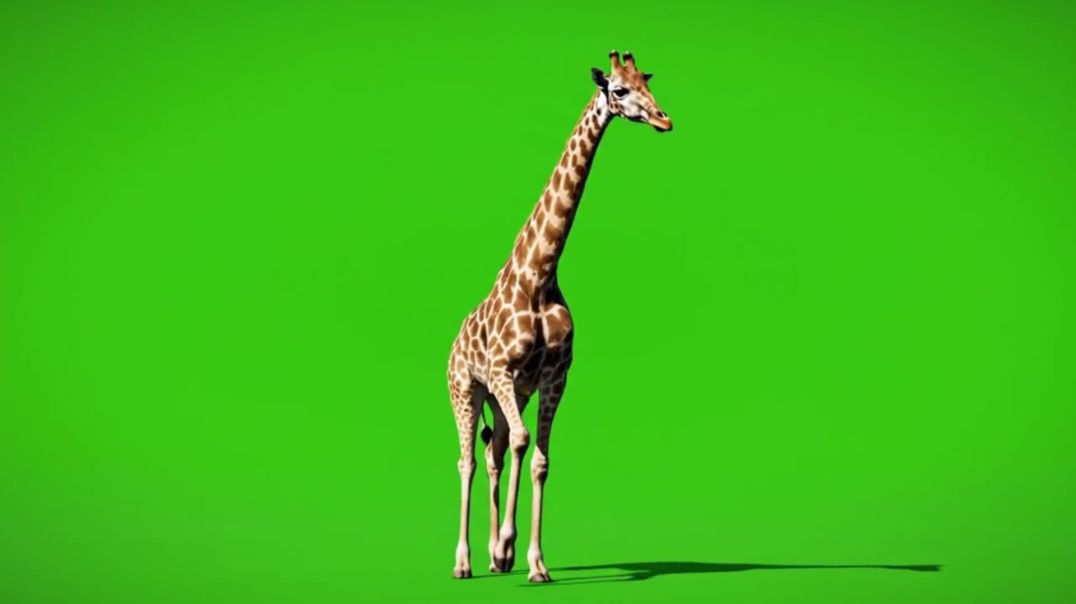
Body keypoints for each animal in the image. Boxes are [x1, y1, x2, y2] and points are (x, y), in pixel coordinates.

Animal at [447, 50, 672, 583]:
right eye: (618, 90)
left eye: (646, 82)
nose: (663, 119)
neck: (541, 274)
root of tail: (454, 340)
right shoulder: (503, 370)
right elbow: (524, 443)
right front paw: (514, 551)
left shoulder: (552, 378)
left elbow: (539, 458)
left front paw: (532, 561)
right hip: (466, 388)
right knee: (468, 459)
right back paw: (464, 562)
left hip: (506, 395)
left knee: (494, 450)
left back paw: (496, 557)